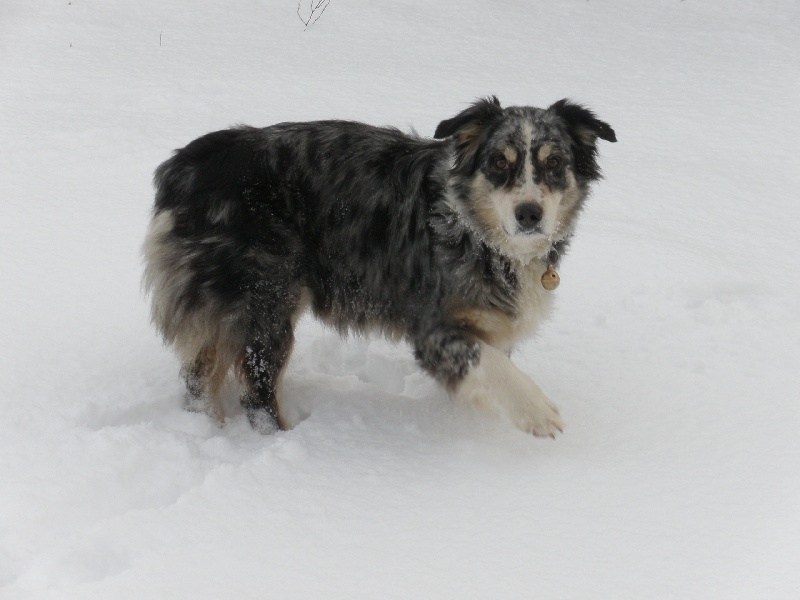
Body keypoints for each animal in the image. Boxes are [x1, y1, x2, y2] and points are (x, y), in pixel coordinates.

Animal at [143, 97, 615, 436]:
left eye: (555, 163)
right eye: (500, 162)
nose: (529, 213)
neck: (477, 233)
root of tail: (185, 166)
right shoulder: (433, 327)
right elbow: (494, 365)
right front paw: (534, 410)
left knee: (199, 378)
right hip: (265, 298)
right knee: (256, 394)